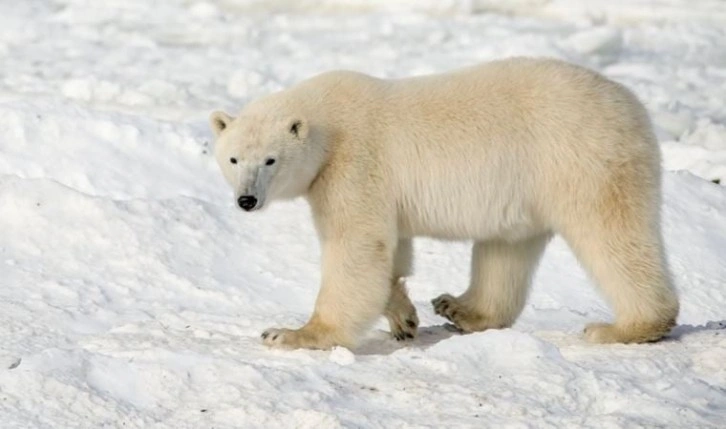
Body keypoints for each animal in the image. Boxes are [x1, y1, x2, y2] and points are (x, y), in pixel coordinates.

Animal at [210, 56, 684, 350]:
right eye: (233, 158)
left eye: (270, 159)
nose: (247, 199)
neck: (328, 123)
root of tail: (631, 104)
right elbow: (391, 251)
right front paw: (404, 317)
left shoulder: (352, 164)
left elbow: (356, 247)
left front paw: (291, 334)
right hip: (527, 186)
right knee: (506, 250)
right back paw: (460, 307)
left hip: (584, 161)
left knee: (613, 236)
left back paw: (625, 327)